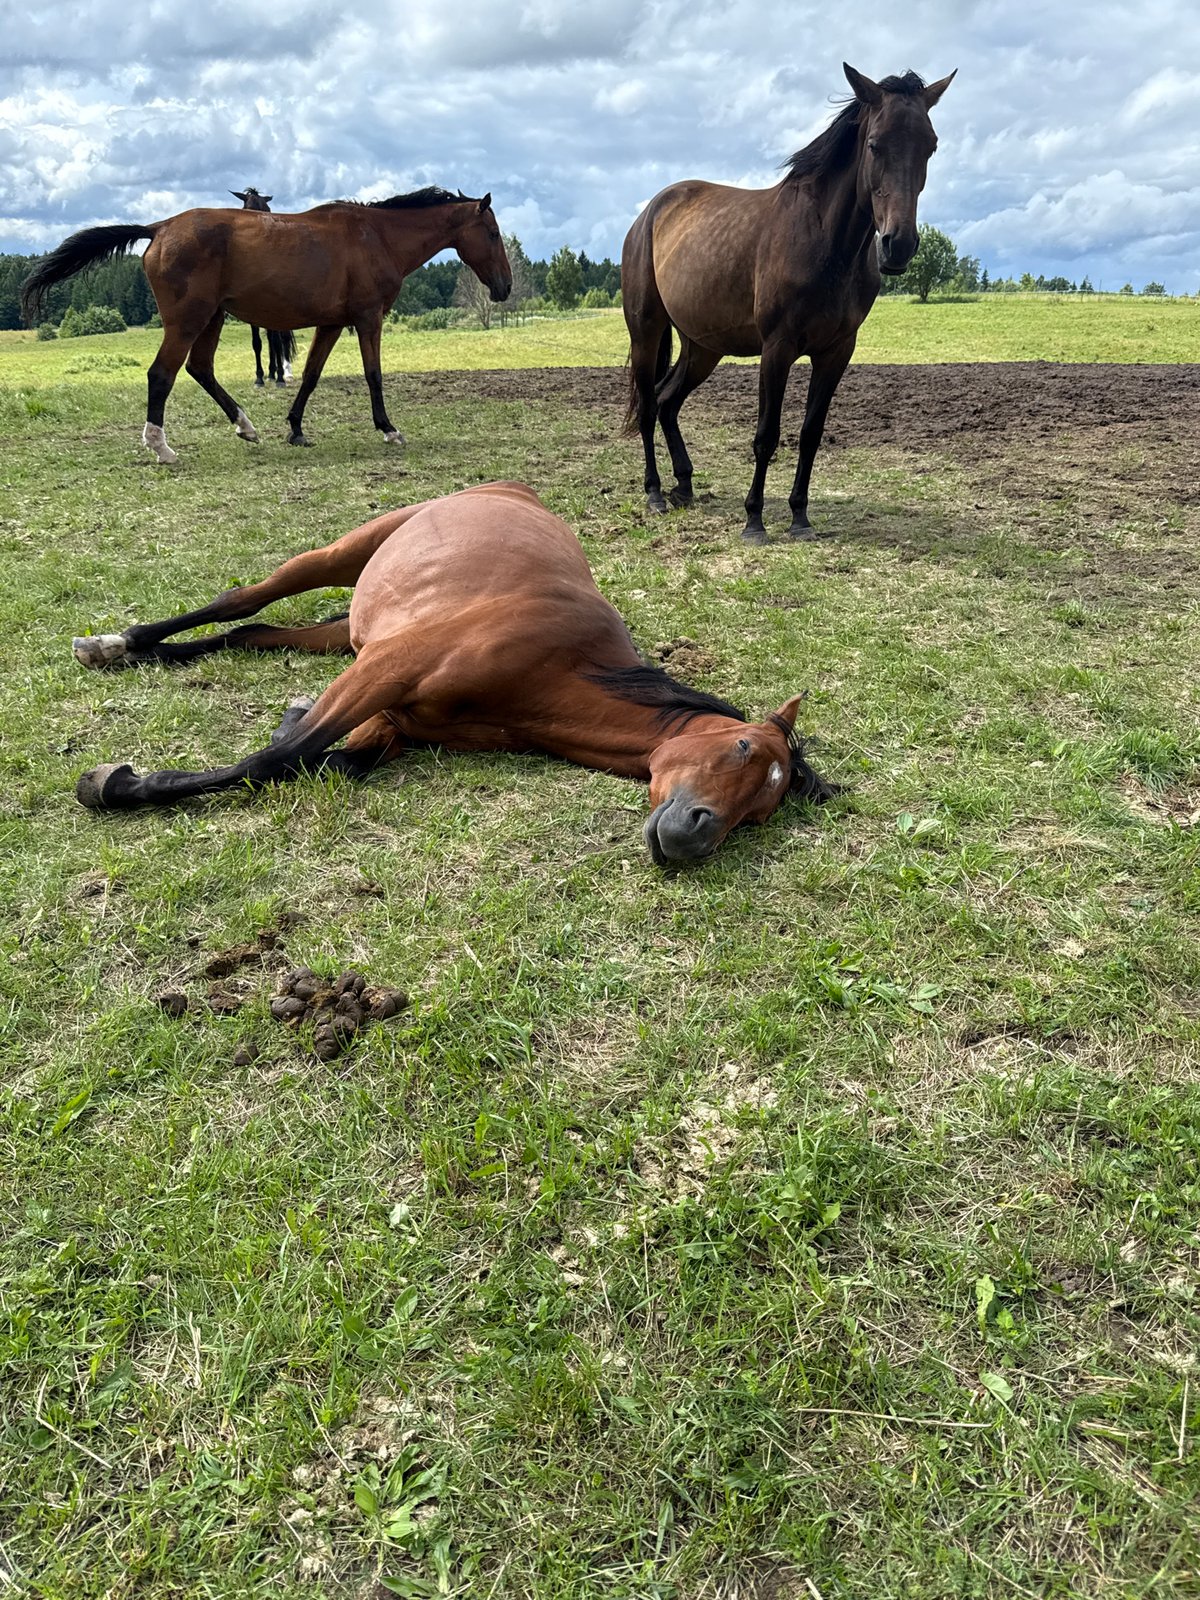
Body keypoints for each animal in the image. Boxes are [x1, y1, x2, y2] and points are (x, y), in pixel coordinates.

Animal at [70, 483, 834, 865]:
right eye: (741, 746)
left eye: (760, 813)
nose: (695, 837)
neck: (554, 668)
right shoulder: (385, 671)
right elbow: (274, 760)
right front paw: (118, 785)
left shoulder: (388, 708)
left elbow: (325, 761)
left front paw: (292, 716)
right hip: (343, 555)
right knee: (244, 600)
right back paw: (114, 642)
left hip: (347, 632)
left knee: (252, 632)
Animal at [230, 188, 297, 387]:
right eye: (247, 209)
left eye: (267, 210)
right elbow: (257, 342)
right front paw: (259, 377)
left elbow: (275, 340)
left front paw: (281, 377)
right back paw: (271, 373)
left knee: (279, 339)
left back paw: (281, 373)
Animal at [622, 63, 955, 543]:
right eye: (875, 143)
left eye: (930, 145)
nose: (899, 245)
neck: (824, 242)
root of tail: (649, 213)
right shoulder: (776, 349)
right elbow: (767, 434)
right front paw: (754, 520)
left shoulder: (836, 352)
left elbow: (811, 433)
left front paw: (800, 517)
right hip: (646, 333)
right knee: (649, 406)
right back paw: (654, 493)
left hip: (702, 347)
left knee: (668, 401)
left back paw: (683, 486)